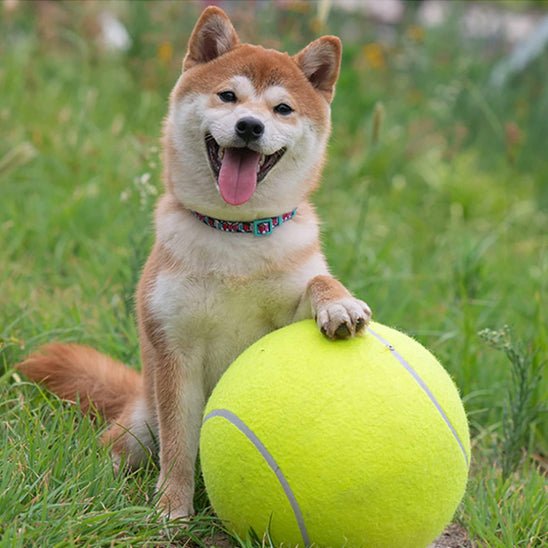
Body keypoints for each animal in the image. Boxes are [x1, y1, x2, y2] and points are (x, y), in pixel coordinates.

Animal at [21, 5, 372, 520]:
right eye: (228, 96)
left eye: (282, 109)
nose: (250, 126)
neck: (235, 235)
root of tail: (136, 390)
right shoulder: (175, 349)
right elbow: (179, 445)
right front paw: (171, 509)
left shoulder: (289, 307)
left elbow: (318, 282)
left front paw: (339, 305)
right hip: (141, 421)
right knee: (119, 450)